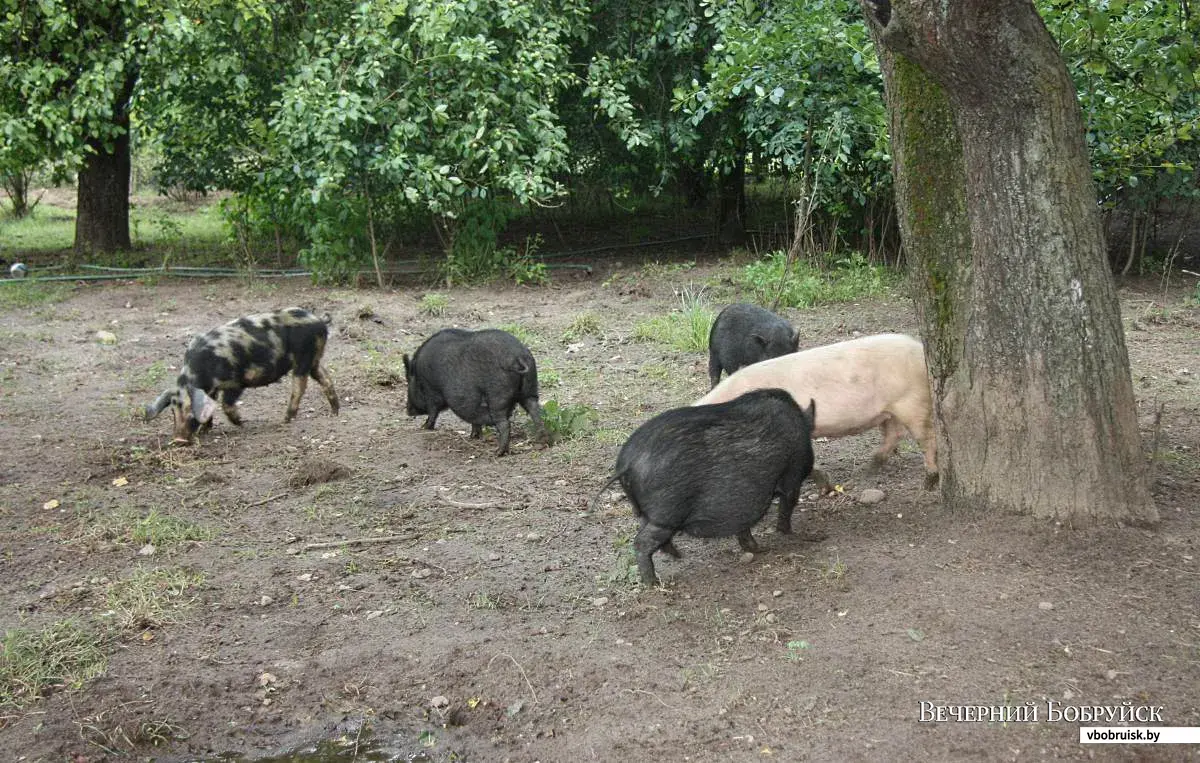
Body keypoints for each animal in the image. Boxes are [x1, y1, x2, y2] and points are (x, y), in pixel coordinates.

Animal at [149, 307, 340, 443]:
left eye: (190, 410)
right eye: (173, 411)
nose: (178, 440)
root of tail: (319, 320)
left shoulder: (236, 381)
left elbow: (226, 404)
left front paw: (241, 423)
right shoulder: (212, 389)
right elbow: (212, 405)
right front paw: (204, 431)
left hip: (303, 358)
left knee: (300, 387)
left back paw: (285, 420)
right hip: (314, 359)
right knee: (325, 379)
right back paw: (334, 412)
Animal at [408, 326, 549, 453]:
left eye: (409, 382)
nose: (408, 411)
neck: (419, 374)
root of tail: (518, 357)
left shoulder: (432, 390)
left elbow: (433, 411)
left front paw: (424, 427)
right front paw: (474, 436)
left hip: (498, 395)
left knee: (505, 423)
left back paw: (498, 452)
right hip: (530, 389)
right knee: (535, 411)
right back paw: (542, 442)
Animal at [595, 386, 820, 583]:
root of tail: (626, 463)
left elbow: (744, 524)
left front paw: (756, 549)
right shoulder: (792, 475)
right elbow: (787, 506)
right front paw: (788, 534)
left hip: (652, 514)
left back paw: (679, 556)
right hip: (667, 514)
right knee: (642, 542)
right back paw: (654, 583)